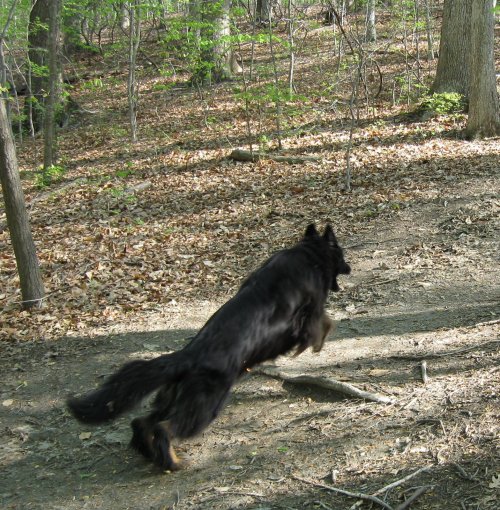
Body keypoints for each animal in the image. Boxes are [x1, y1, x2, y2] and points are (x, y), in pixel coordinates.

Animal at [67, 224, 351, 470]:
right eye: (342, 253)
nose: (349, 267)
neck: (310, 254)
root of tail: (186, 356)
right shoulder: (309, 313)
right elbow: (325, 323)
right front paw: (314, 346)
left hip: (174, 399)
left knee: (142, 422)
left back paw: (151, 454)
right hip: (206, 405)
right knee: (164, 427)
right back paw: (172, 462)